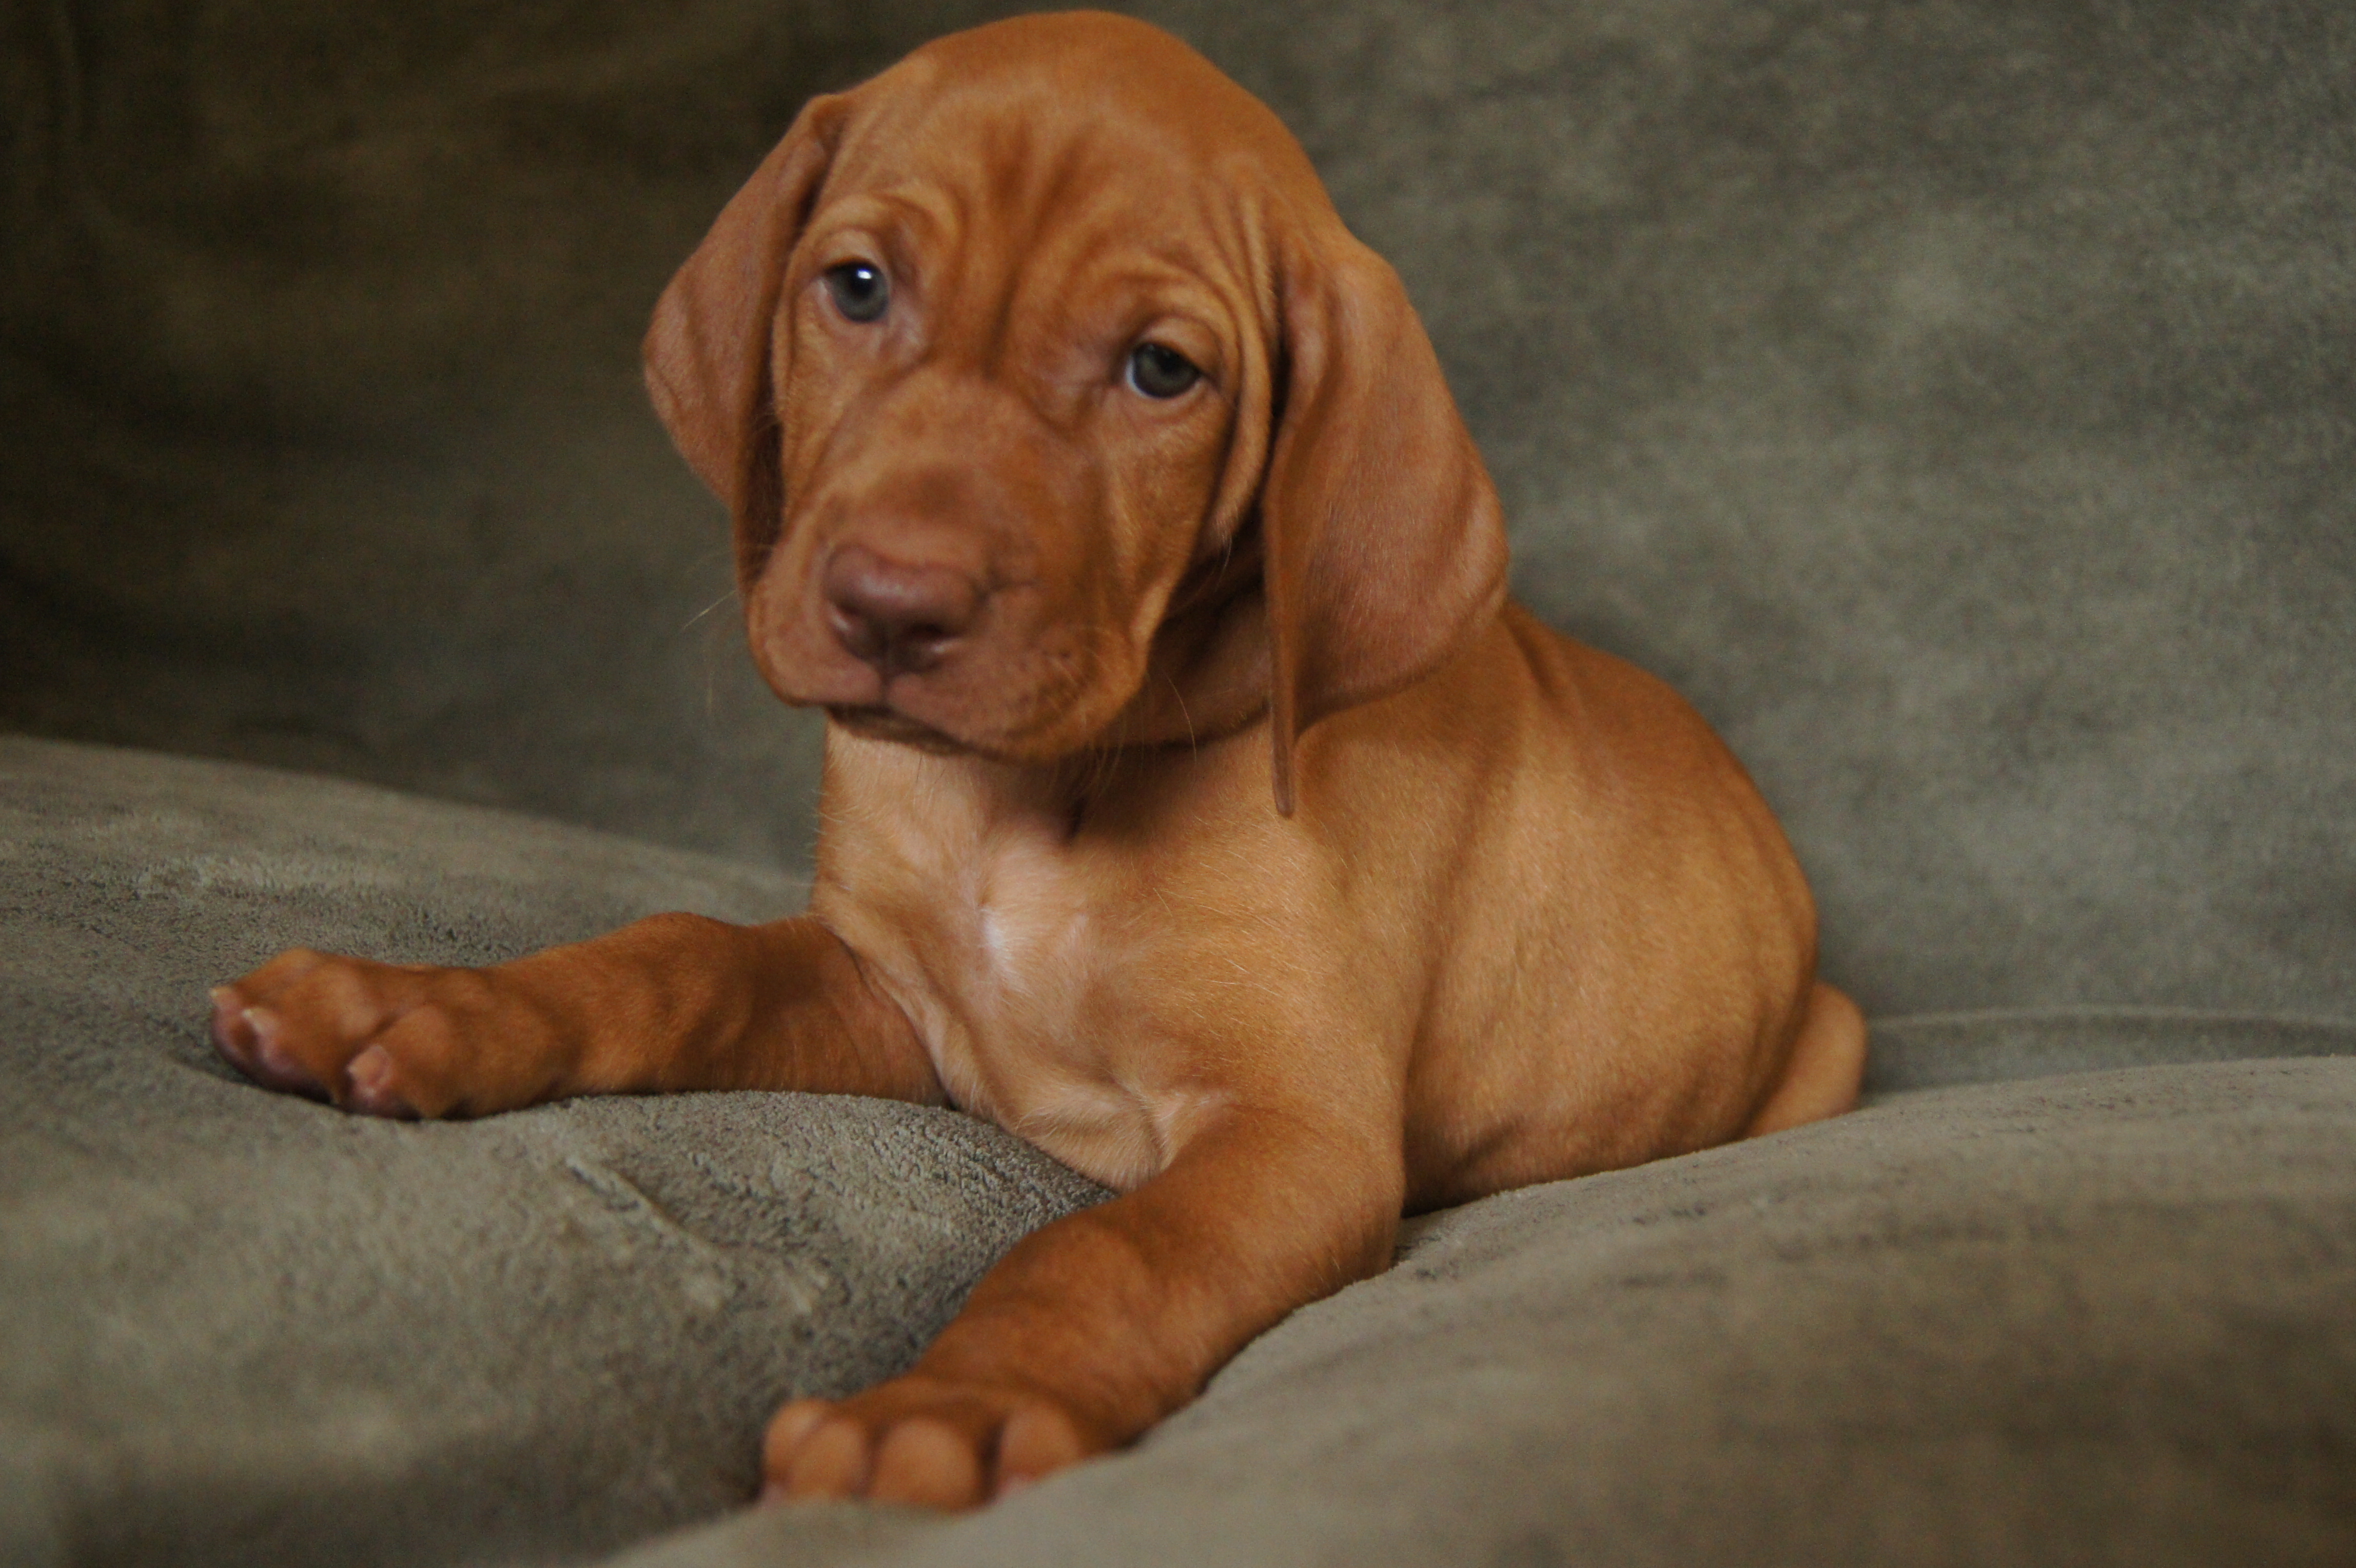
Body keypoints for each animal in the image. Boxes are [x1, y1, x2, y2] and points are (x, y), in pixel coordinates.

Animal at [209, 11, 1866, 1512]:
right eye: (858, 286)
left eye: (1161, 371)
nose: (892, 605)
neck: (1037, 799)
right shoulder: (889, 995)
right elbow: (674, 956)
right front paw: (427, 1004)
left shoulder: (1296, 1127)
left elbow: (1107, 1249)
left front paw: (950, 1402)